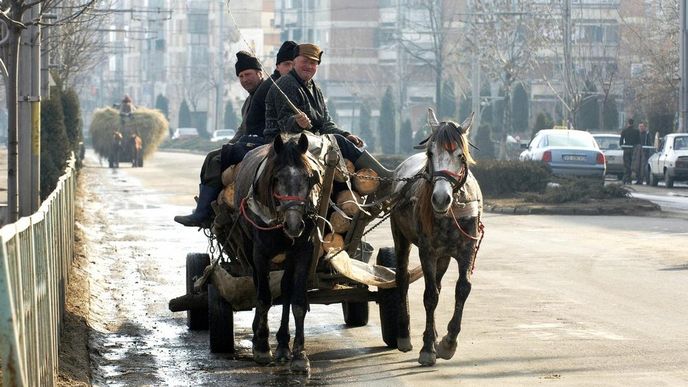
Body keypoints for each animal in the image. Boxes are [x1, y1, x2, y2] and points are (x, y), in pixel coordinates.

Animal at [390, 110, 486, 366]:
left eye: (460, 155)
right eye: (430, 153)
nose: (441, 198)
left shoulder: (467, 249)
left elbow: (462, 288)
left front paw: (447, 343)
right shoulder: (428, 251)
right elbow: (430, 296)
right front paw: (427, 349)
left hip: (444, 255)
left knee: (440, 283)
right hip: (400, 236)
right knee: (402, 278)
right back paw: (404, 335)